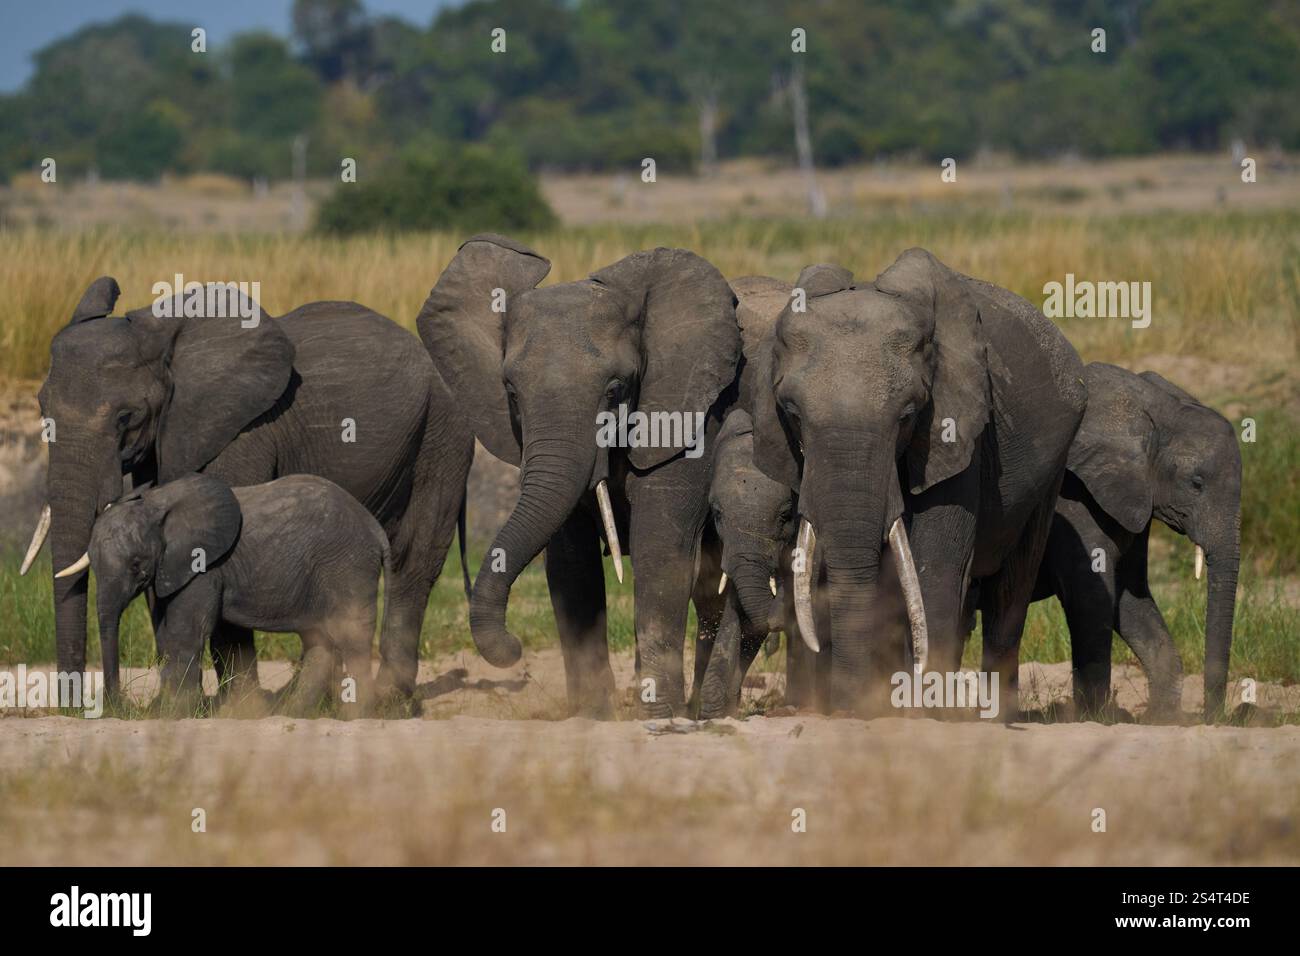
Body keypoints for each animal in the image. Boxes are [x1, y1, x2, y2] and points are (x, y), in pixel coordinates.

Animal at [81, 473, 389, 715]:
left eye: (136, 565)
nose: (118, 707)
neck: (157, 502)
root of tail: (376, 528)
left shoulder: (203, 565)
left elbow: (184, 632)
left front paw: (171, 715)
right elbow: (167, 633)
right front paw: (168, 712)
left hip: (348, 566)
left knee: (351, 637)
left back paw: (354, 716)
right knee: (319, 642)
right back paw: (290, 715)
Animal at [418, 235, 741, 717]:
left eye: (615, 389)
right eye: (511, 392)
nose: (513, 648)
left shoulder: (692, 415)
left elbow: (662, 550)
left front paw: (660, 714)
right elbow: (572, 565)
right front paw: (592, 715)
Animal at [742, 251, 1089, 716]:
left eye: (908, 415)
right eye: (792, 412)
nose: (852, 708)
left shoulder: (960, 434)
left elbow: (933, 569)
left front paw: (916, 714)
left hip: (1051, 470)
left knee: (1009, 593)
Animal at [1031, 363, 1241, 722]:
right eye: (1196, 483)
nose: (1212, 719)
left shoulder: (1133, 498)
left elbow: (1130, 594)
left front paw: (1161, 719)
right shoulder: (1070, 496)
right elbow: (1090, 594)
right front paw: (1096, 719)